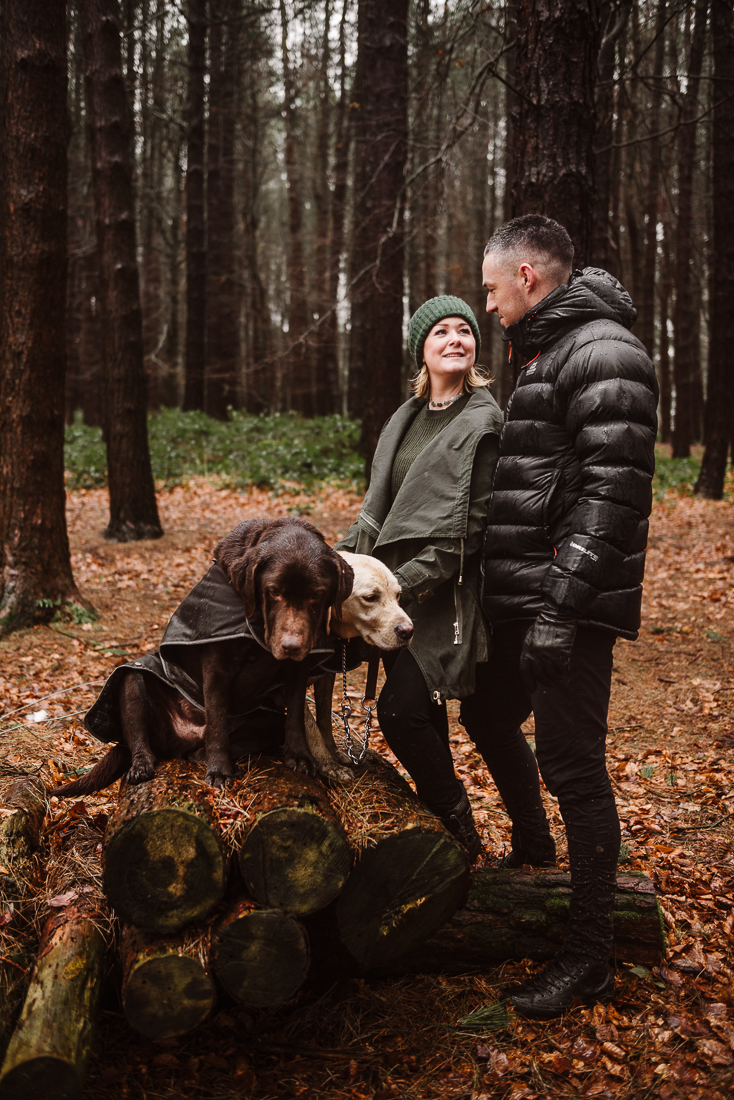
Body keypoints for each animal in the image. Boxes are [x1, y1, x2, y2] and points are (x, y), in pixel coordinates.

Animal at [53, 519, 352, 796]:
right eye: (274, 591)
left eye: (316, 595)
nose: (292, 646)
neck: (254, 627)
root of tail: (182, 739)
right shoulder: (216, 667)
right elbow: (217, 721)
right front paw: (219, 771)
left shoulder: (297, 671)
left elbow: (296, 715)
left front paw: (300, 757)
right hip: (134, 680)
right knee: (138, 710)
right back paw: (143, 764)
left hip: (267, 721)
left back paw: (206, 756)